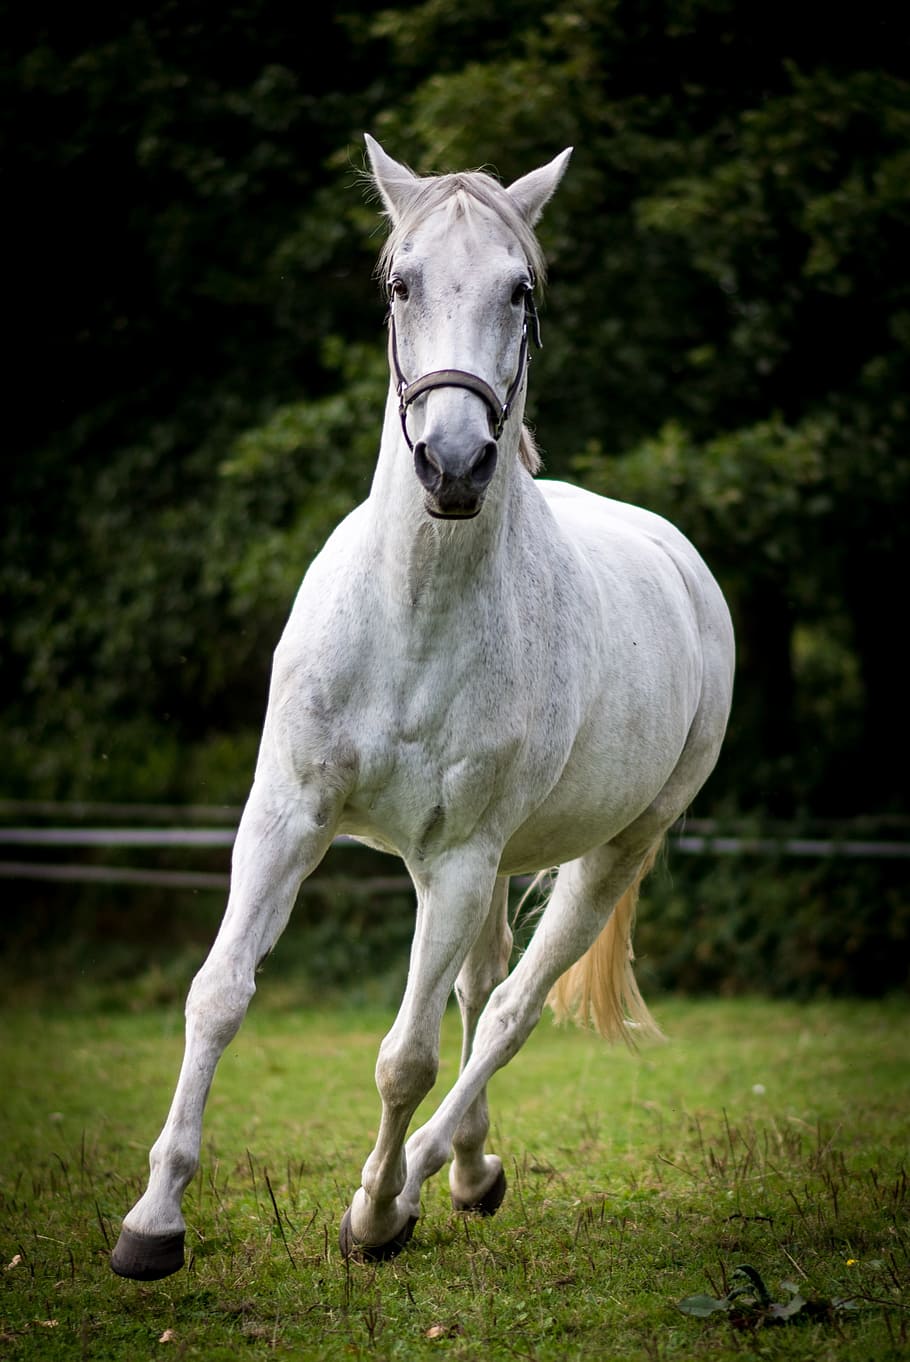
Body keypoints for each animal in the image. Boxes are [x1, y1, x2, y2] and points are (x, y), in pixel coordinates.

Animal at [110, 135, 735, 1279]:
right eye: (400, 283)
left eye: (521, 288)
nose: (453, 463)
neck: (413, 609)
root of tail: (676, 557)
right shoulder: (287, 821)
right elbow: (218, 996)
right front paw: (153, 1223)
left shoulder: (456, 861)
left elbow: (407, 1058)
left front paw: (370, 1215)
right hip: (483, 867)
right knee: (480, 992)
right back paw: (469, 1173)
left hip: (600, 855)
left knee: (507, 1013)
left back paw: (415, 1183)